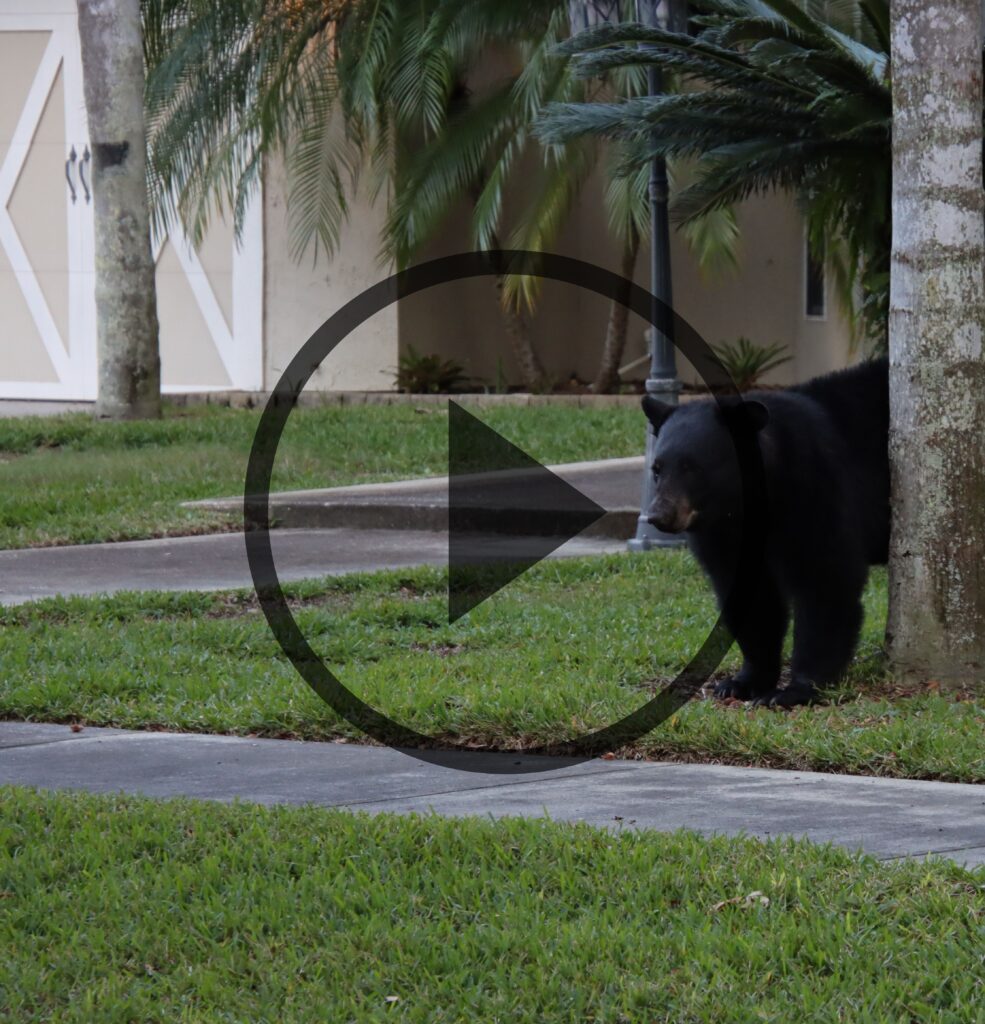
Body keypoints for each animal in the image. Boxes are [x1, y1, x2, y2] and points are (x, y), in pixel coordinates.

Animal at [641, 357, 889, 707]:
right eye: (657, 469)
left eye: (693, 468)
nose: (659, 515)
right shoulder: (724, 531)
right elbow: (752, 595)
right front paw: (742, 682)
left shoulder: (815, 488)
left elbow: (825, 579)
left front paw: (794, 690)